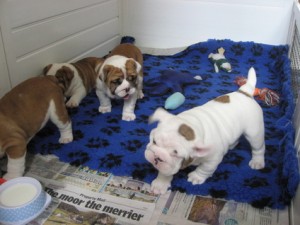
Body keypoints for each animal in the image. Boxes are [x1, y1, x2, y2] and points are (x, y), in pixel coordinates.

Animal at [145, 67, 264, 195]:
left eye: (176, 154)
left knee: (258, 147)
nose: (157, 156)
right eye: (154, 141)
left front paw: (196, 177)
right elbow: (165, 171)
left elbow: (205, 169)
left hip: (254, 132)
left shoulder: (213, 159)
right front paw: (160, 183)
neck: (192, 125)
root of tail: (245, 92)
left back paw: (257, 161)